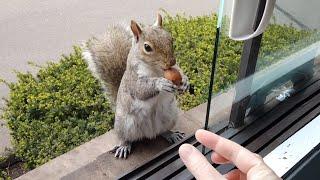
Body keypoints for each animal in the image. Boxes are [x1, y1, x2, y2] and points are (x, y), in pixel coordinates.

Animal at [82, 14, 190, 158]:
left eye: (170, 38)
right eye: (147, 47)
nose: (171, 62)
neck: (156, 69)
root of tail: (150, 133)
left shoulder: (174, 68)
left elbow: (179, 71)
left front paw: (185, 81)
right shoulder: (133, 79)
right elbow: (140, 90)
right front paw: (160, 83)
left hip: (169, 116)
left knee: (162, 131)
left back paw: (171, 134)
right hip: (125, 125)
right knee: (125, 138)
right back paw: (124, 146)